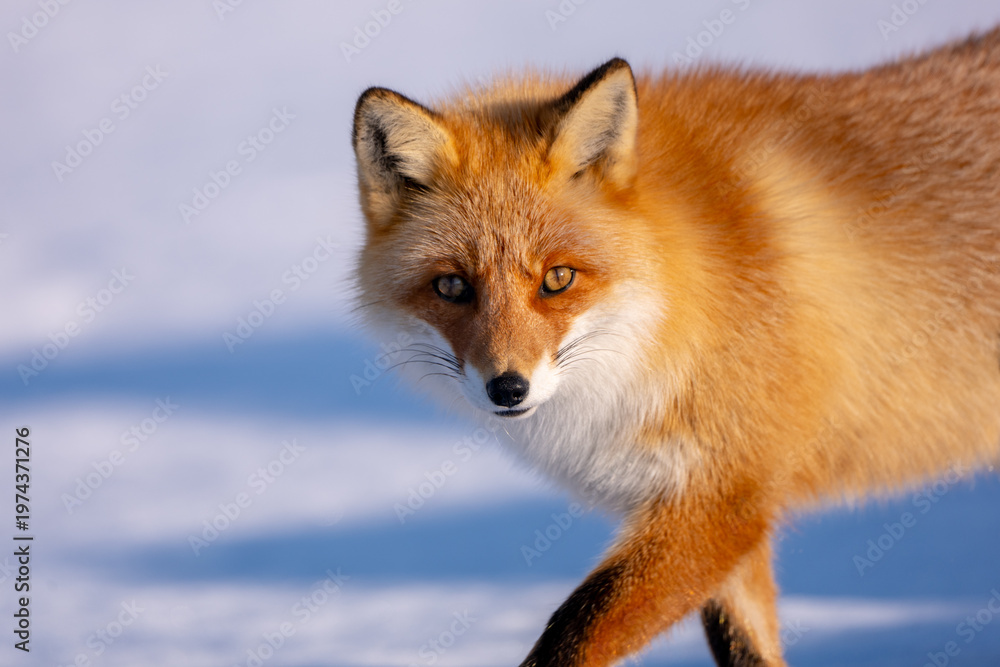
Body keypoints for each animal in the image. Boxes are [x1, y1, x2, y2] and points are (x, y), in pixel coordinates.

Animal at [351, 28, 1000, 667]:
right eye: (452, 287)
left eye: (558, 279)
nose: (508, 388)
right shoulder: (712, 512)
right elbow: (744, 648)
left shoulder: (724, 501)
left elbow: (571, 635)